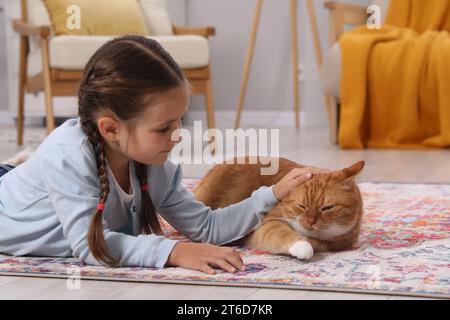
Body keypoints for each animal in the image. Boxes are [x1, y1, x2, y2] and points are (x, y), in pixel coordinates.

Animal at [195, 158, 364, 260]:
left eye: (327, 208)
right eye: (302, 206)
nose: (310, 221)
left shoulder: (342, 241)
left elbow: (320, 243)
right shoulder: (270, 222)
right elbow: (283, 233)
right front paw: (302, 245)